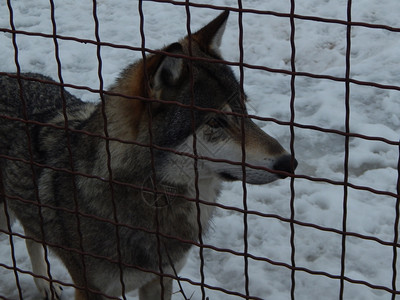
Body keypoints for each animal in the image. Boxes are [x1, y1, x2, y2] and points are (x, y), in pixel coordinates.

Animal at [0, 11, 296, 300]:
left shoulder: (160, 279)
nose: (289, 162)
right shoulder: (91, 290)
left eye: (244, 109)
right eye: (215, 122)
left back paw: (46, 284)